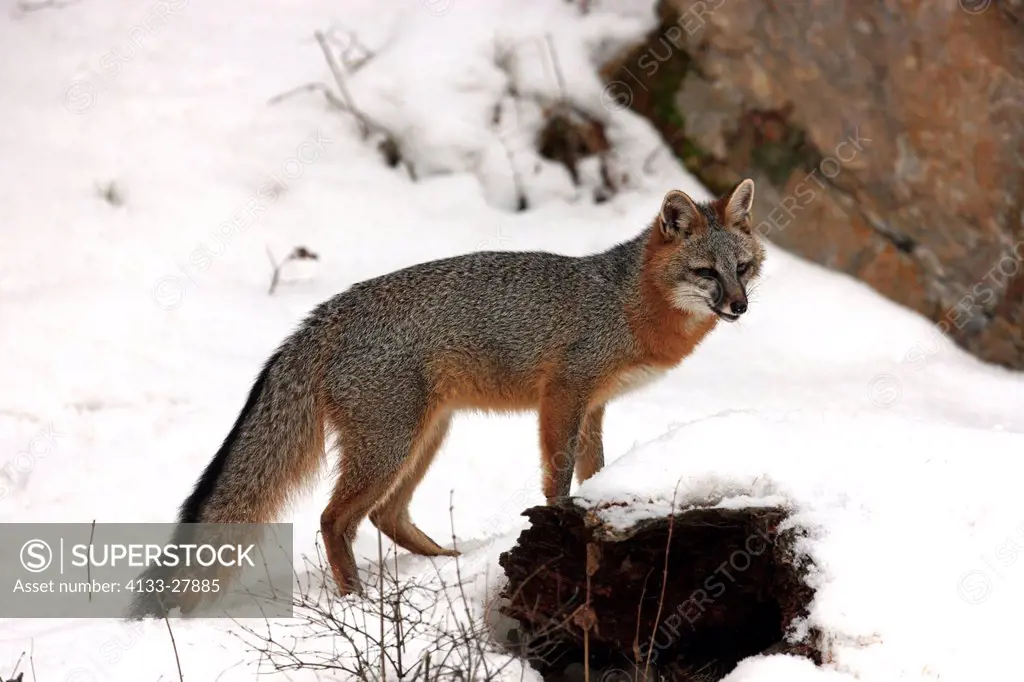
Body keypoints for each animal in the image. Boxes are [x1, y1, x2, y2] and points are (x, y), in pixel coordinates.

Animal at [138, 179, 761, 606]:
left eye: (744, 268)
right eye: (706, 272)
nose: (740, 307)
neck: (628, 302)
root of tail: (327, 314)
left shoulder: (595, 404)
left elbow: (594, 471)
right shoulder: (564, 394)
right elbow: (558, 476)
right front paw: (559, 524)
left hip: (426, 437)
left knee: (386, 515)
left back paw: (451, 562)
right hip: (392, 445)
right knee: (335, 519)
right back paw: (357, 598)